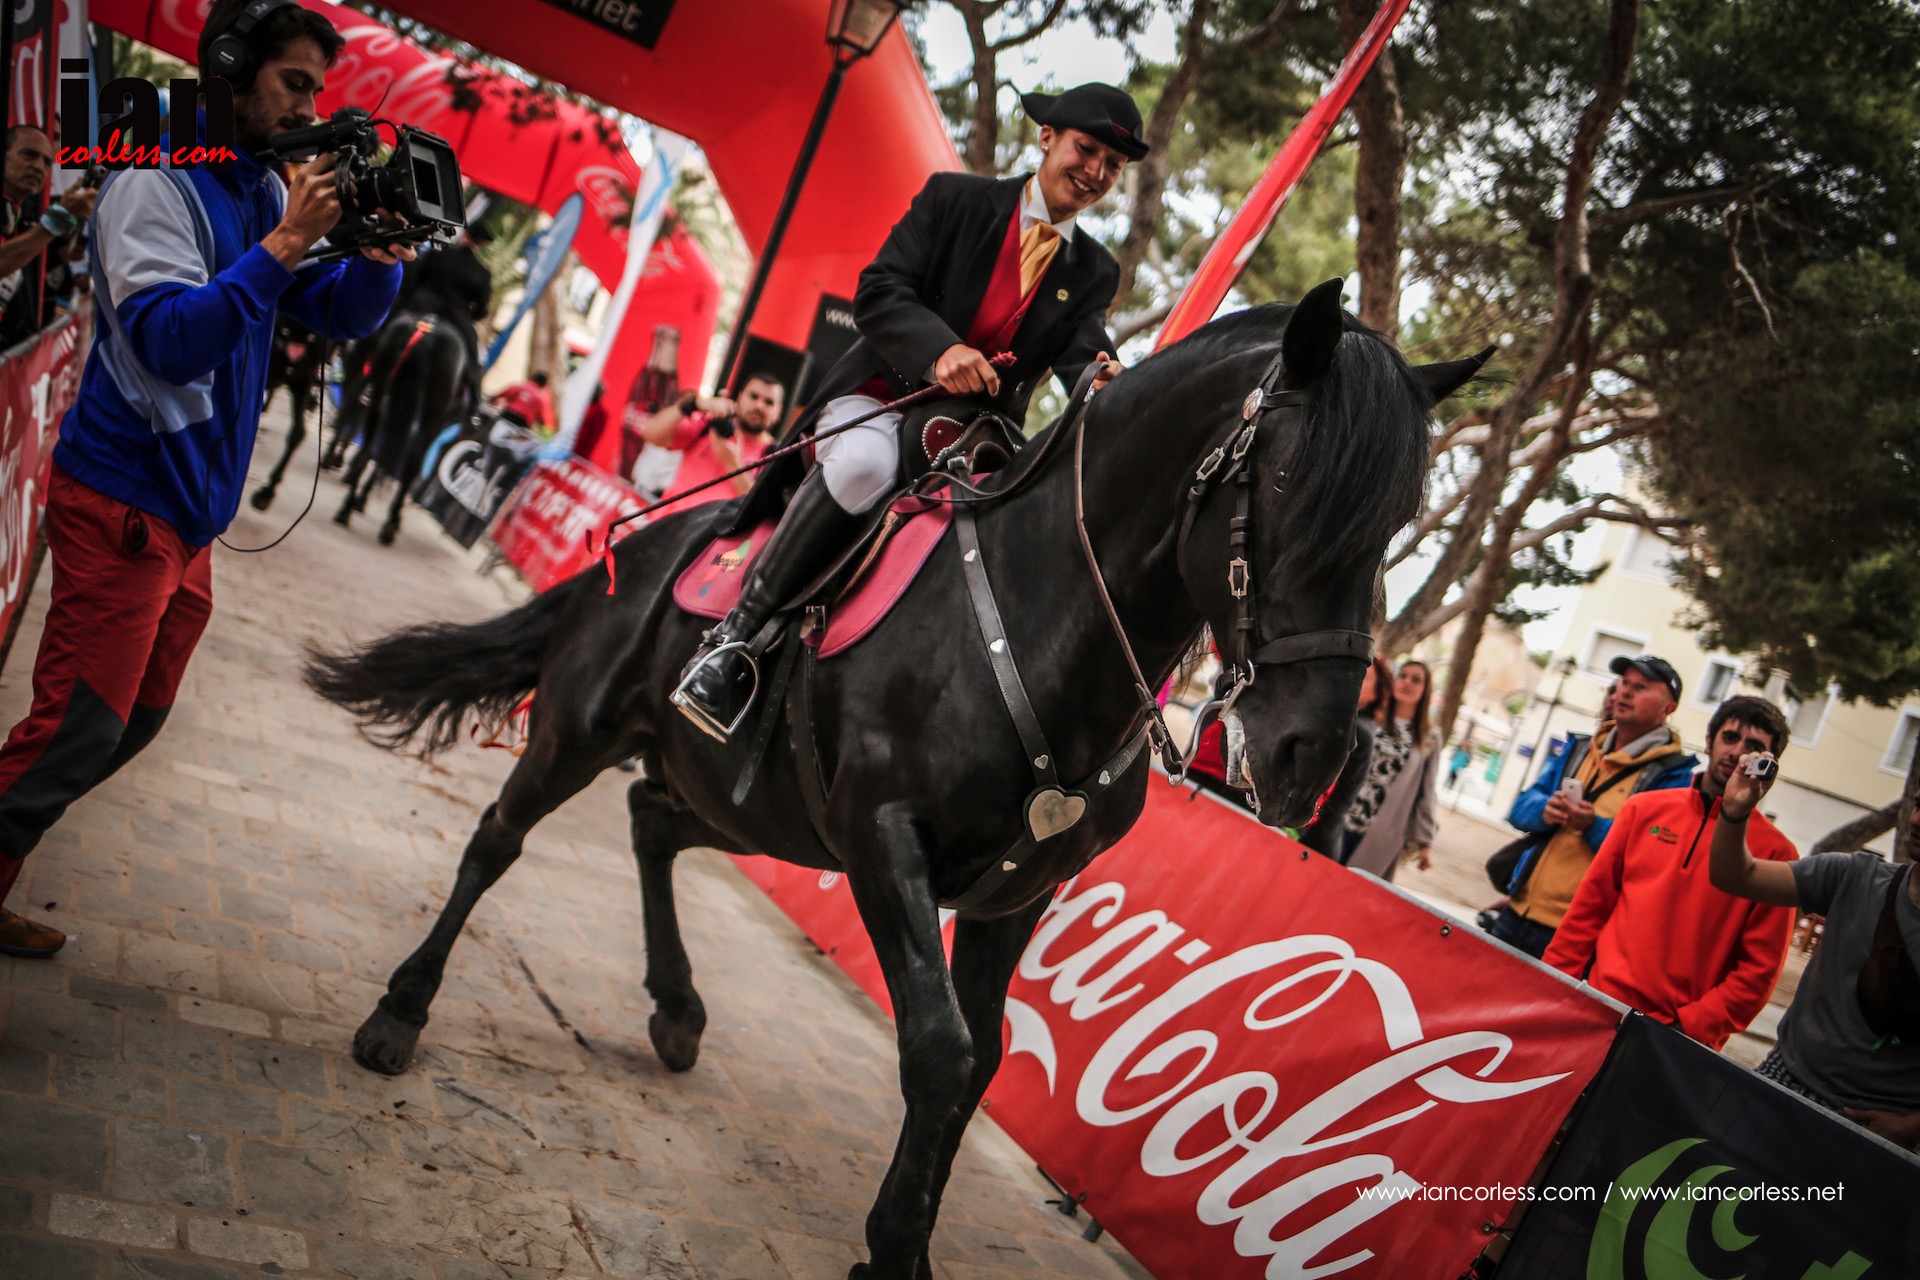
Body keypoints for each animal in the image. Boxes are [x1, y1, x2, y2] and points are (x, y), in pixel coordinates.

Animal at [331, 310, 473, 545]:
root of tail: (424, 330)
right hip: (428, 418)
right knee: (409, 460)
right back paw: (389, 523)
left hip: (378, 395)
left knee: (367, 445)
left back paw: (345, 505)